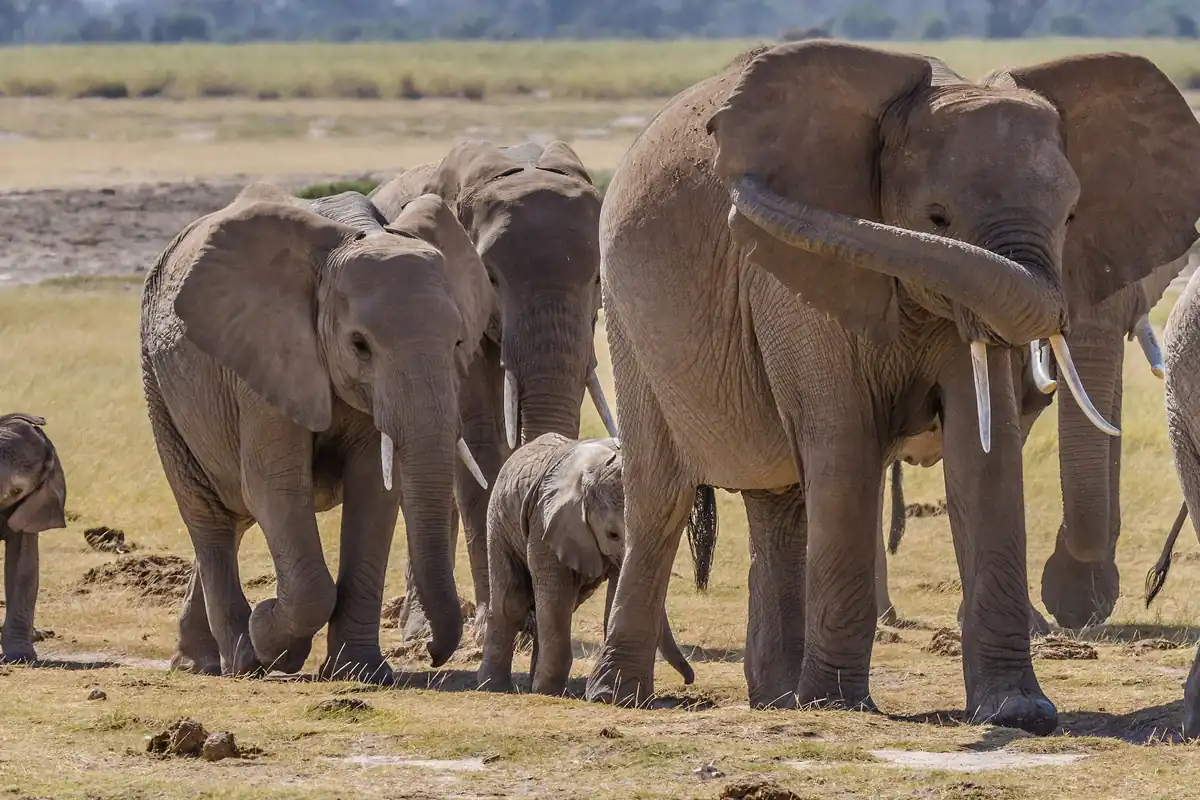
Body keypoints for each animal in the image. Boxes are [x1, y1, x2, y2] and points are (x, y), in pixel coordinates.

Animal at [141, 183, 494, 682]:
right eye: (359, 345)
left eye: (459, 342)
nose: (431, 653)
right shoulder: (266, 354)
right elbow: (277, 486)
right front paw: (272, 641)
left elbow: (376, 489)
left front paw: (360, 673)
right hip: (159, 385)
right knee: (209, 515)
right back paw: (239, 660)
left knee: (235, 516)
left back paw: (199, 660)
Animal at [477, 433, 694, 695]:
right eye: (612, 534)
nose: (688, 680)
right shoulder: (544, 522)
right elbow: (555, 596)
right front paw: (548, 692)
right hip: (499, 519)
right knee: (512, 601)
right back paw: (493, 687)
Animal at [585, 40, 1200, 736]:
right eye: (937, 217)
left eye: (1071, 215)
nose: (740, 195)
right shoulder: (793, 278)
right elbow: (844, 441)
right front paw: (838, 706)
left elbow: (983, 456)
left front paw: (1018, 712)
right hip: (628, 317)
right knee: (662, 497)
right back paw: (622, 696)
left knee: (782, 501)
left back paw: (777, 698)